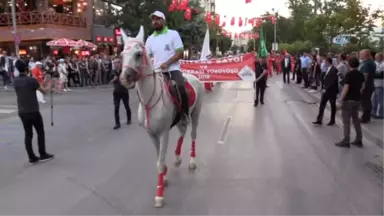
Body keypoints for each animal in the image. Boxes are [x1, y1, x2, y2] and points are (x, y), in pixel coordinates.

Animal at [119, 25, 204, 208]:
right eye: (121, 54)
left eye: (138, 54)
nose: (124, 78)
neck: (149, 100)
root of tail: (194, 77)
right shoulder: (151, 134)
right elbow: (159, 158)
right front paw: (164, 175)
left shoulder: (164, 132)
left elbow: (159, 162)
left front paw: (159, 195)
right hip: (180, 119)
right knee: (182, 132)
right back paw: (177, 157)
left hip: (196, 113)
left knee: (193, 134)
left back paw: (192, 161)